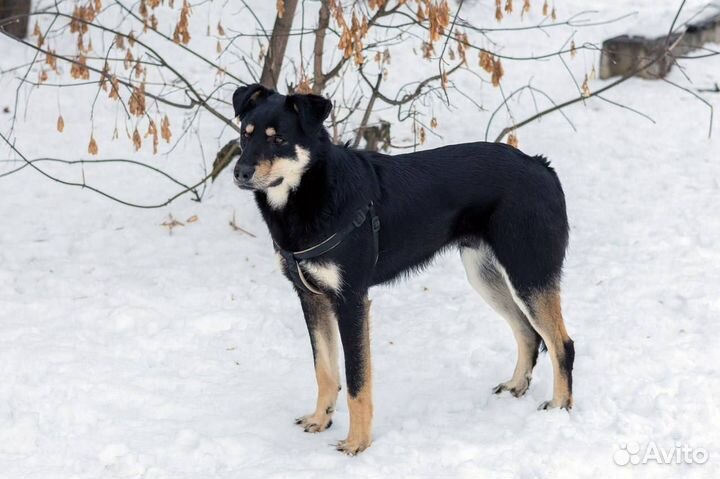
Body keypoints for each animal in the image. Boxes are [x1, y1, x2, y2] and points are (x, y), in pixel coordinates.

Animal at [231, 84, 572, 456]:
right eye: (245, 134)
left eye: (279, 139)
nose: (240, 172)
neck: (314, 192)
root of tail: (541, 165)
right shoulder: (311, 297)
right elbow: (324, 369)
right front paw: (320, 420)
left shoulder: (351, 301)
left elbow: (357, 381)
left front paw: (357, 443)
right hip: (486, 275)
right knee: (527, 332)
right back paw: (516, 386)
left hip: (528, 272)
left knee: (561, 343)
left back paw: (560, 408)